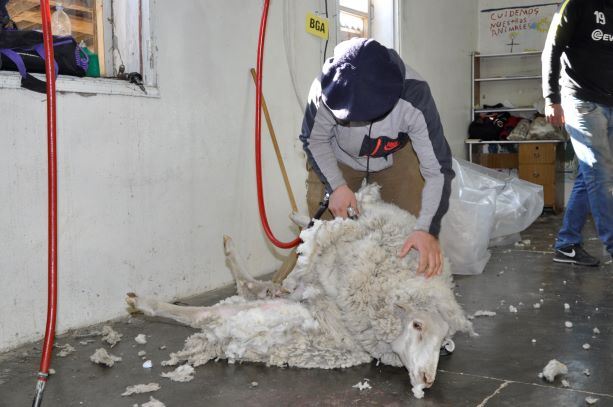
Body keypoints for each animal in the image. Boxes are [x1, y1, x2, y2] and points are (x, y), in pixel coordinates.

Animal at [125, 183, 474, 400]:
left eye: (442, 340)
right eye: (417, 325)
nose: (428, 380)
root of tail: (216, 340)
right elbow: (327, 226)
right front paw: (309, 221)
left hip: (246, 313)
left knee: (217, 303)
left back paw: (143, 301)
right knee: (255, 285)